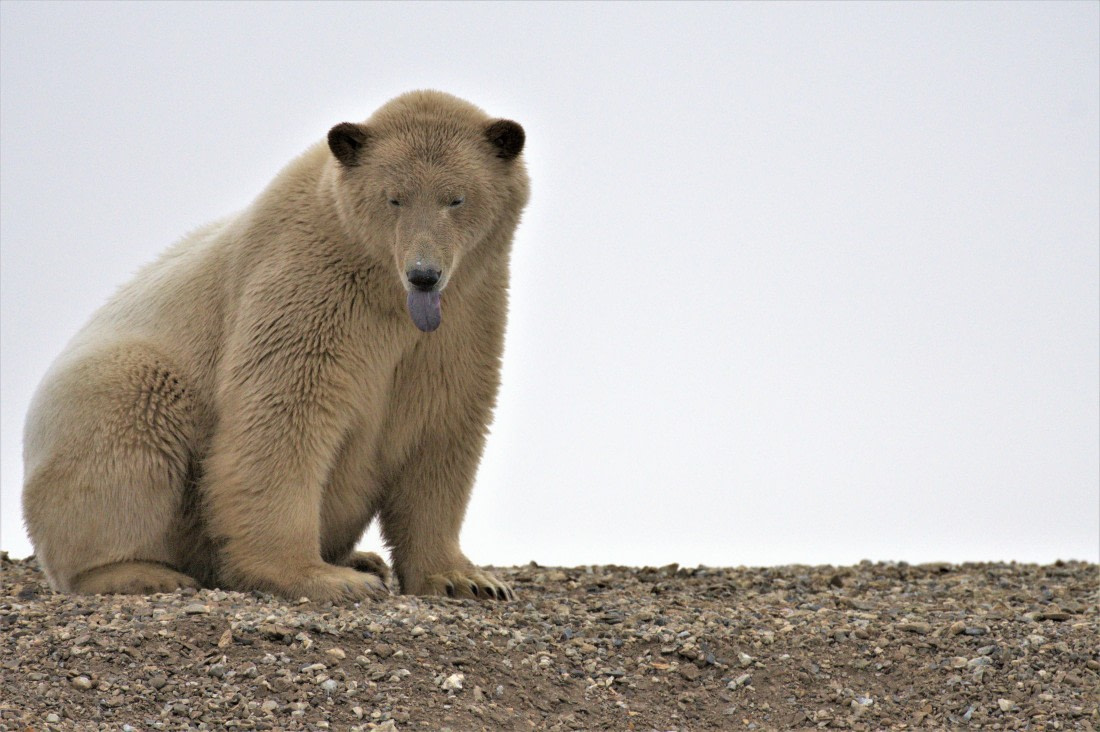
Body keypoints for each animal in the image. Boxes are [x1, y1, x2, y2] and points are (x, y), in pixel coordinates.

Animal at [21, 90, 529, 602]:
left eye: (456, 198)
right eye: (394, 198)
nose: (424, 273)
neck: (383, 284)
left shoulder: (466, 310)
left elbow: (441, 424)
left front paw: (468, 580)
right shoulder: (307, 280)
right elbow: (284, 415)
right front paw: (320, 577)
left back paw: (362, 558)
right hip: (107, 391)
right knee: (130, 422)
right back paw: (141, 571)